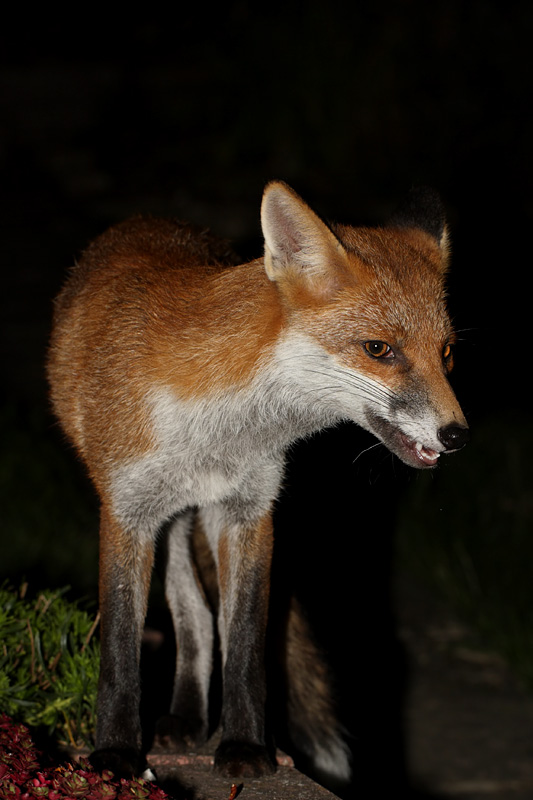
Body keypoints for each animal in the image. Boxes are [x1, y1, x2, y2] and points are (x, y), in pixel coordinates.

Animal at [47, 181, 468, 785]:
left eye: (447, 352)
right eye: (379, 349)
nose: (456, 435)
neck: (217, 433)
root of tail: (150, 219)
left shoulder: (250, 511)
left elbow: (245, 641)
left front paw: (246, 747)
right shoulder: (127, 512)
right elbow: (121, 649)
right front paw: (117, 757)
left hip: (194, 518)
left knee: (205, 621)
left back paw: (191, 718)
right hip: (170, 522)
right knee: (192, 613)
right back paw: (182, 720)